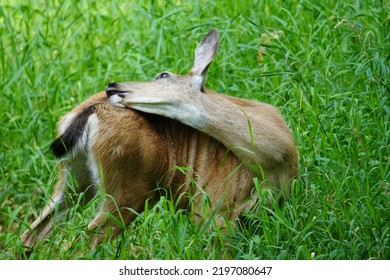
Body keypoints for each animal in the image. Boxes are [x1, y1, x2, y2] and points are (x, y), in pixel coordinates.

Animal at [19, 27, 298, 247]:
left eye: (163, 75)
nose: (112, 86)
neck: (277, 157)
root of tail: (90, 111)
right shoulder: (213, 206)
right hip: (129, 189)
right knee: (84, 241)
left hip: (76, 178)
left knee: (34, 232)